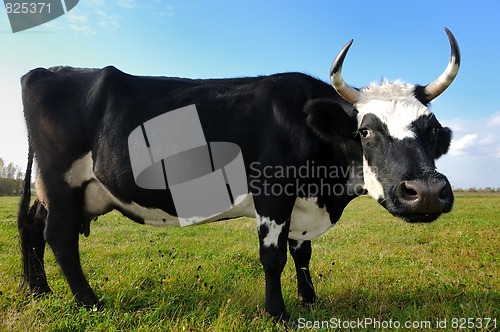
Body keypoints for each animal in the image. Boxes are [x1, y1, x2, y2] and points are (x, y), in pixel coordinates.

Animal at [16, 29, 460, 322]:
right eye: (365, 130)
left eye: (432, 129)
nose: (426, 191)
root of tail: (44, 71)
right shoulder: (273, 192)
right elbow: (273, 256)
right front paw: (277, 313)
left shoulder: (300, 205)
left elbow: (302, 252)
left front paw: (309, 298)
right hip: (61, 181)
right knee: (59, 237)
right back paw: (88, 301)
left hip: (61, 189)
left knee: (32, 226)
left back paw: (39, 290)